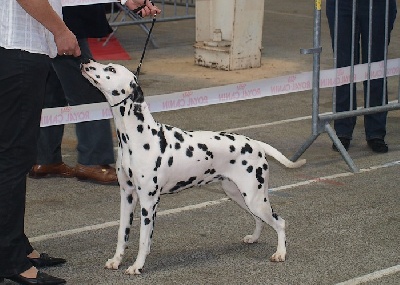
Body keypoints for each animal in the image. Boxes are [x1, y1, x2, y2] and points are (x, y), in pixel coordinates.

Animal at [81, 60, 306, 276]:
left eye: (111, 69)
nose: (85, 63)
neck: (138, 137)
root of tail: (256, 144)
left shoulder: (148, 202)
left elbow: (144, 240)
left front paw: (137, 266)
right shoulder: (127, 195)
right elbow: (122, 233)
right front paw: (116, 261)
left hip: (255, 198)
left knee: (280, 222)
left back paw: (280, 253)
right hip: (239, 195)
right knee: (259, 219)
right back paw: (254, 237)